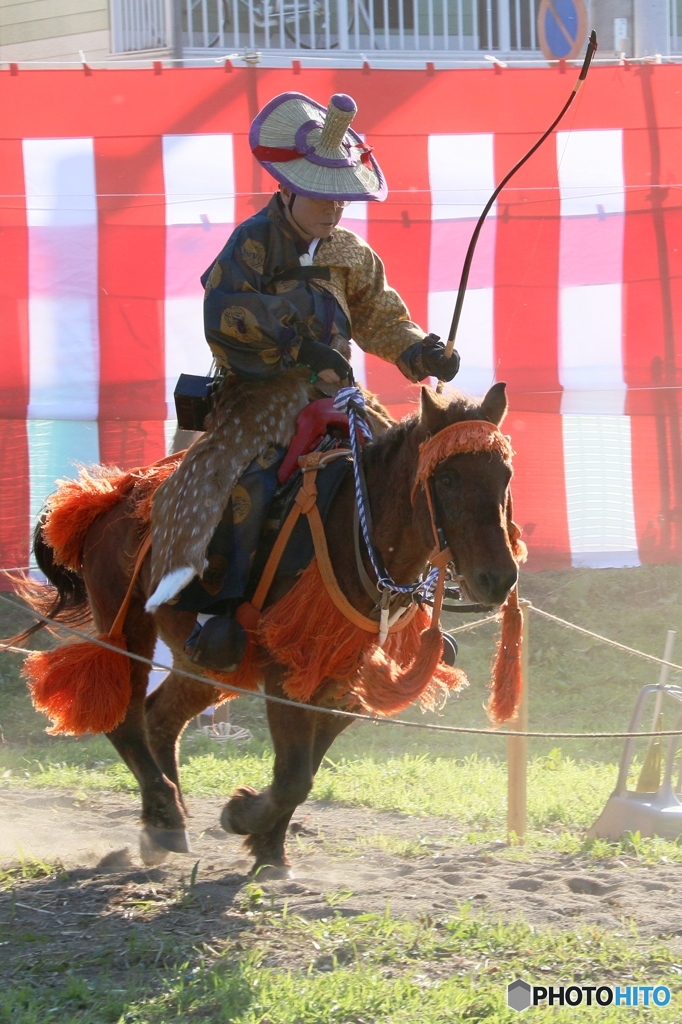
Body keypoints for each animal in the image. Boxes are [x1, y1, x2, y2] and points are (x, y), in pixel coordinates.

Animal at [9, 380, 520, 876]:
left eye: (505, 477)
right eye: (447, 478)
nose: (498, 578)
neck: (359, 531)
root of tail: (109, 496)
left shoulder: (344, 678)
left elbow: (304, 767)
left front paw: (268, 846)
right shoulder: (285, 667)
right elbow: (295, 775)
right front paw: (244, 818)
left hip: (204, 661)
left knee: (160, 717)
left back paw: (162, 825)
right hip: (127, 622)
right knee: (125, 717)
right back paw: (166, 817)